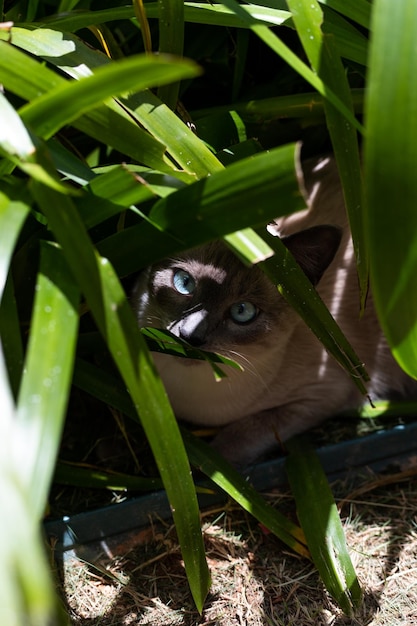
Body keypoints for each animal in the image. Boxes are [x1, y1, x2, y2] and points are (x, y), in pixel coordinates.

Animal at [132, 156, 414, 466]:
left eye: (243, 311)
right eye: (184, 284)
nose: (190, 337)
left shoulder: (321, 396)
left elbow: (243, 433)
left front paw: (210, 464)